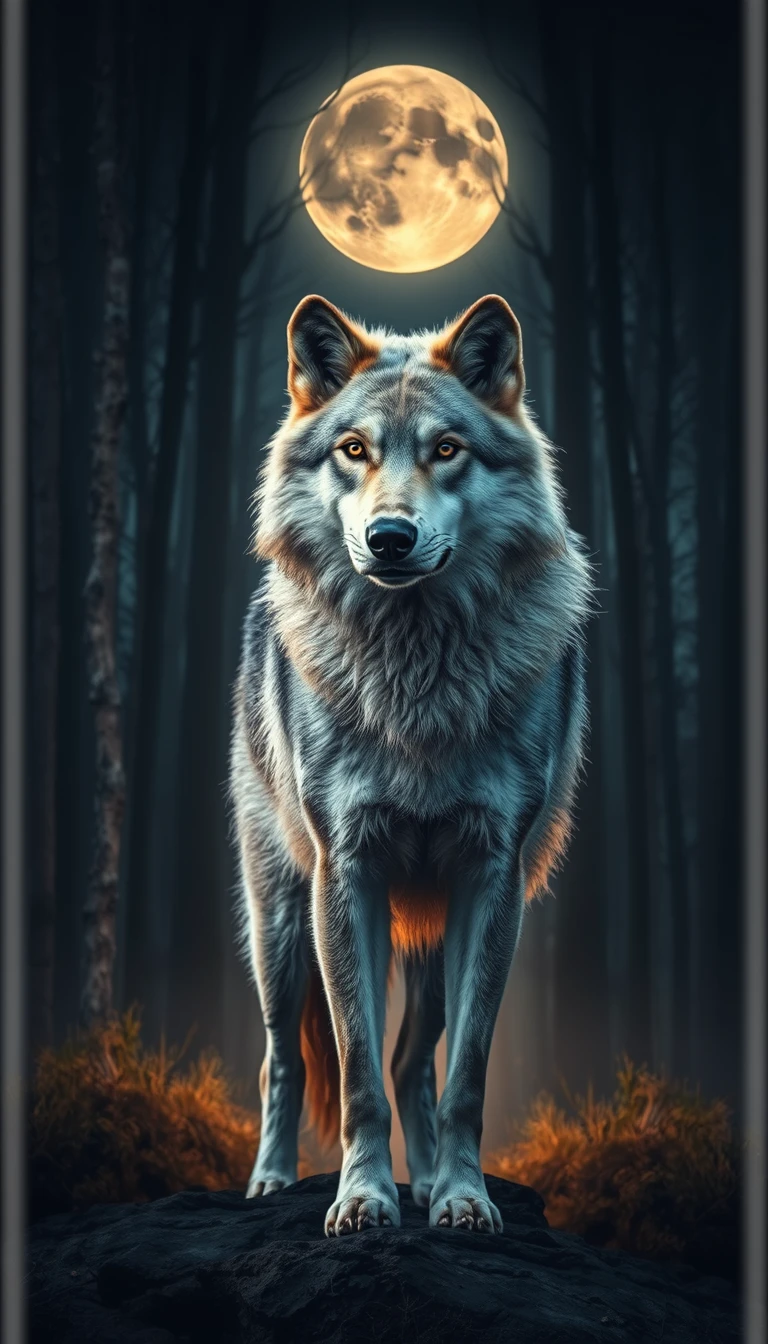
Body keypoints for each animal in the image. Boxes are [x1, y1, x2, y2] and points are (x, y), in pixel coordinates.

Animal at [229, 293, 591, 1237]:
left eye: (447, 449)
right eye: (354, 449)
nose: (390, 537)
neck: (415, 675)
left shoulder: (492, 878)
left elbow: (463, 1073)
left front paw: (461, 1198)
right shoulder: (345, 871)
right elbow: (354, 1069)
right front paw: (362, 1200)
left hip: (425, 929)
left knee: (413, 1058)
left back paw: (426, 1182)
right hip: (280, 925)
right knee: (283, 1059)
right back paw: (270, 1182)